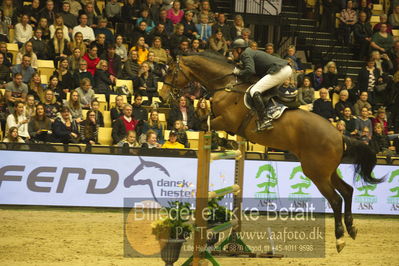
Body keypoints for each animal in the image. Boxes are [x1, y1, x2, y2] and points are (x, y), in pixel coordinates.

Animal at [160, 53, 384, 252]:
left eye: (171, 71)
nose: (162, 95)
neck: (226, 84)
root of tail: (339, 135)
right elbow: (204, 119)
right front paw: (222, 139)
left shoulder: (226, 121)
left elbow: (204, 122)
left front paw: (218, 138)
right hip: (327, 171)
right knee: (347, 191)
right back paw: (351, 228)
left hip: (316, 173)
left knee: (336, 199)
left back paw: (340, 239)